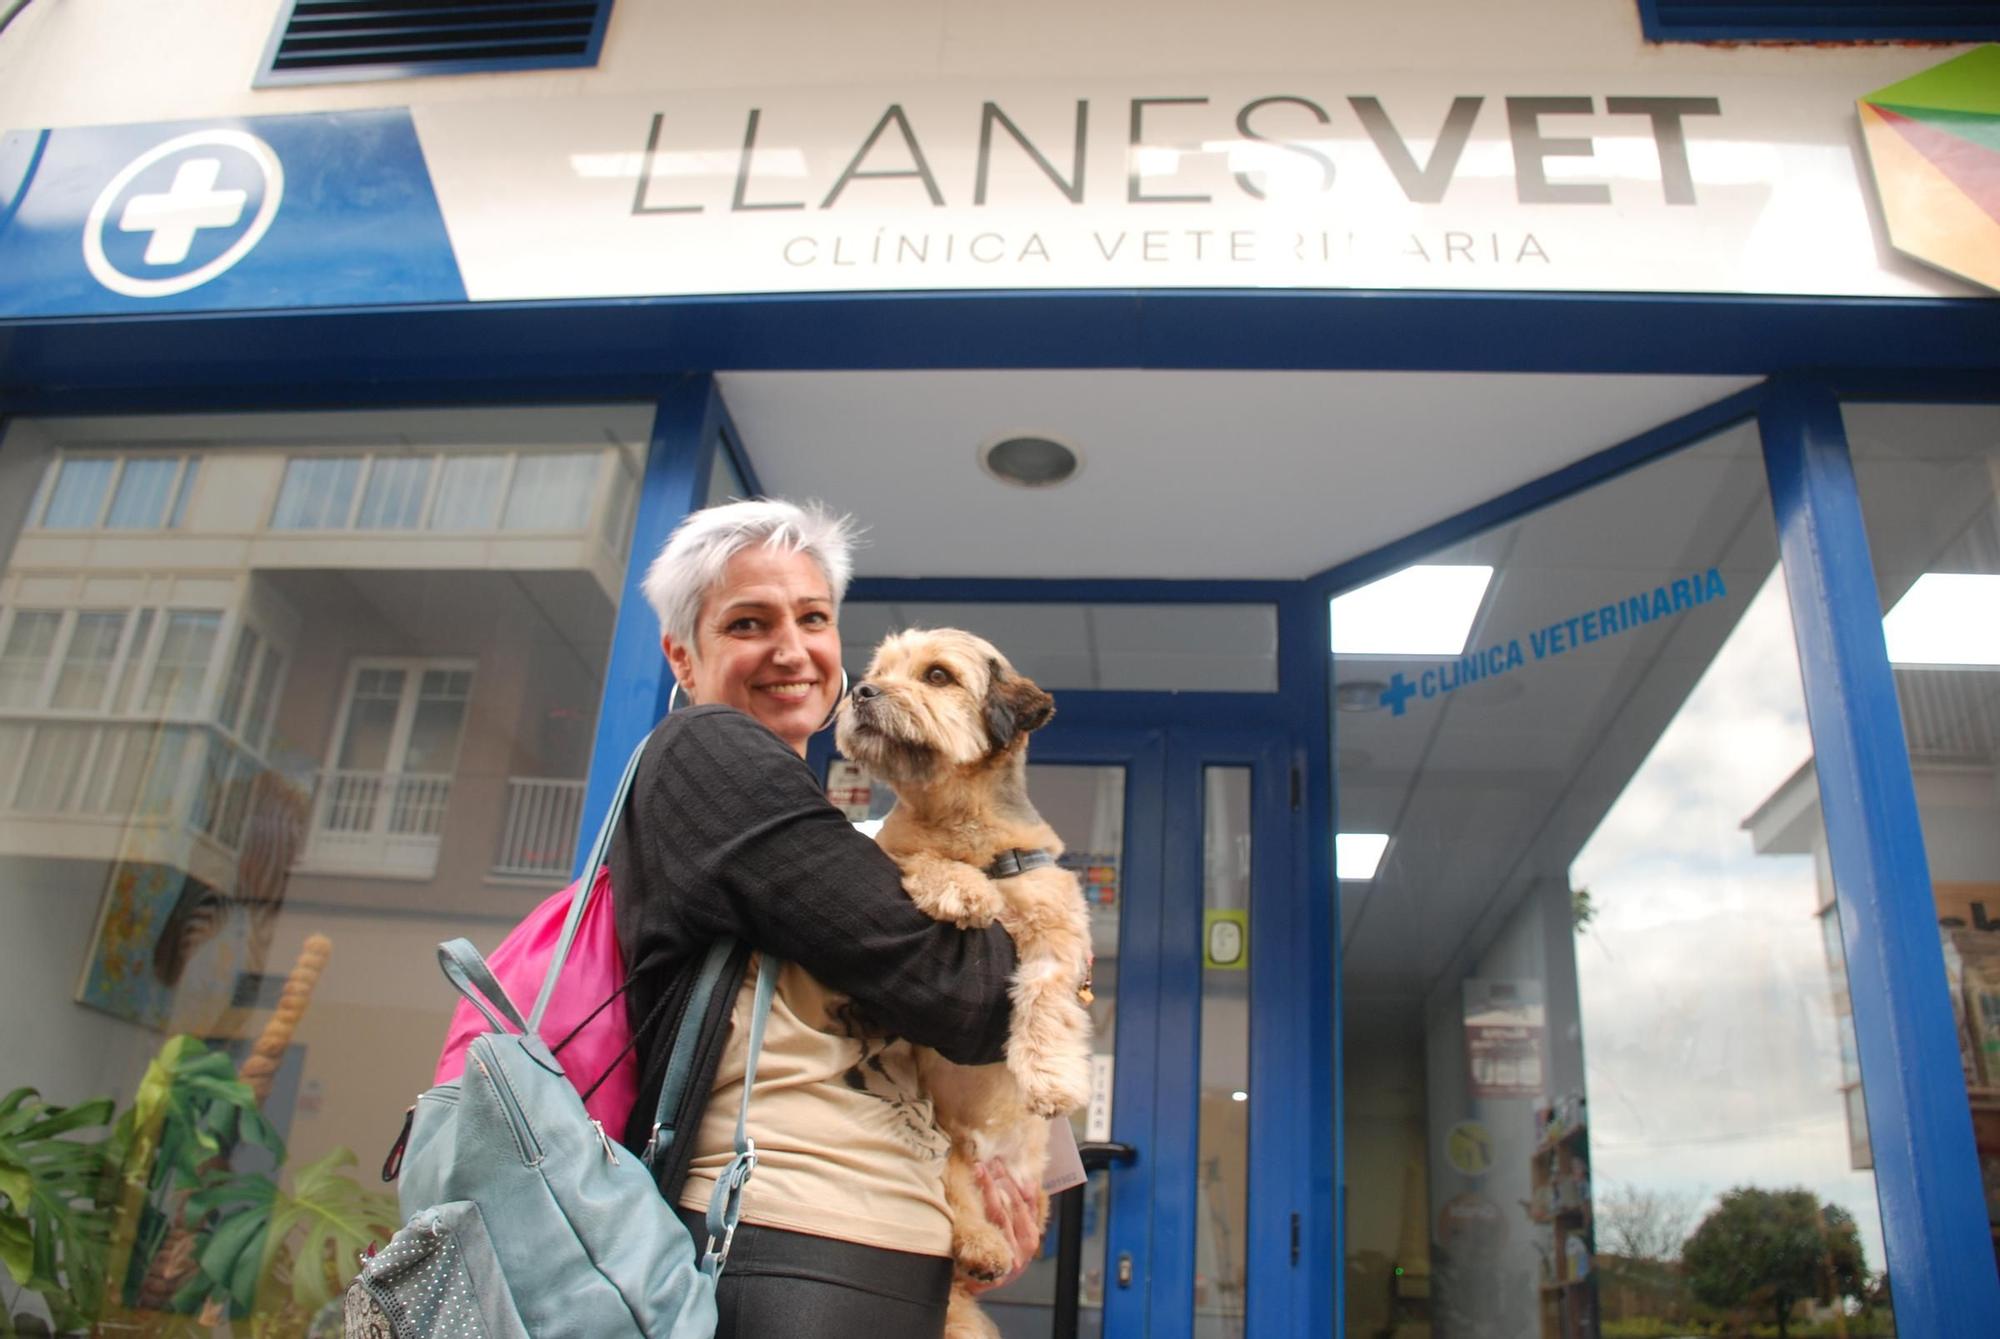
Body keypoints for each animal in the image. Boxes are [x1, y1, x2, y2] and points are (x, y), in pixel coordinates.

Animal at [840, 631, 1104, 1339]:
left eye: (937, 676)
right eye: (879, 671)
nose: (861, 692)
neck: (966, 825)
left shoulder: (1059, 934)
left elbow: (1046, 1000)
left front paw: (1051, 1078)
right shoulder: (896, 854)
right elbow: (917, 858)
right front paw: (961, 889)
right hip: (946, 1151)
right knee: (955, 1202)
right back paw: (981, 1245)